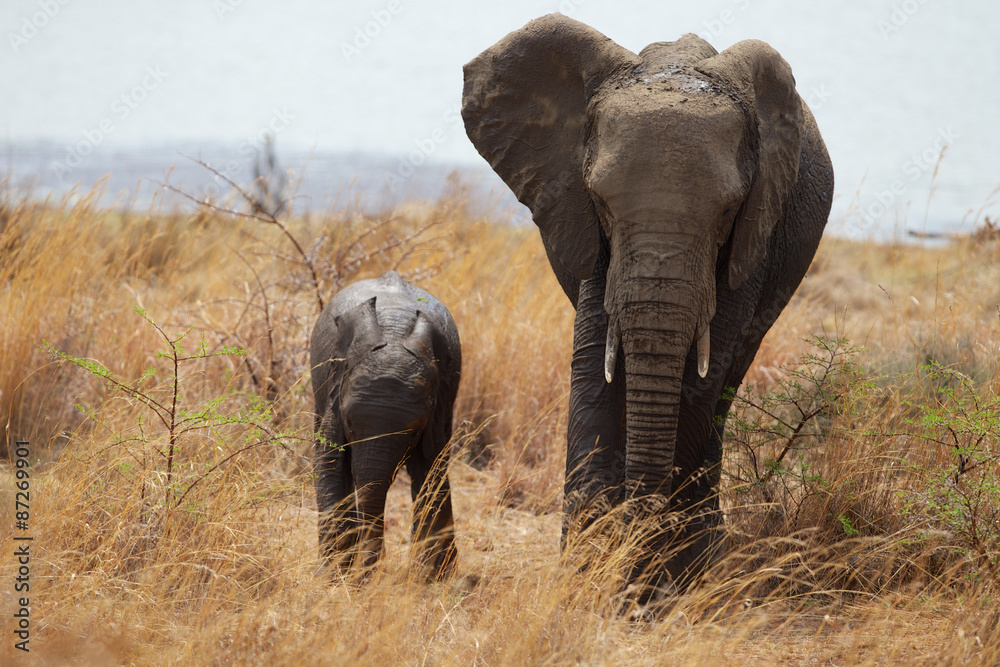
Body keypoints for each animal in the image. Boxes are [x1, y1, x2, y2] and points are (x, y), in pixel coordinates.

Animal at [310, 271, 461, 577]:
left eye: (412, 433)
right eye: (350, 424)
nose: (369, 574)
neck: (394, 331)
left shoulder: (439, 406)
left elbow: (432, 469)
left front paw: (429, 578)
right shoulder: (334, 391)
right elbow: (330, 462)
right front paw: (333, 576)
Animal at [462, 14, 833, 590]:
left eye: (728, 210)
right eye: (601, 200)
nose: (638, 523)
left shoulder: (756, 233)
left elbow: (701, 379)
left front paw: (659, 582)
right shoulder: (583, 222)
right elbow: (592, 367)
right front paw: (588, 575)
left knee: (725, 385)